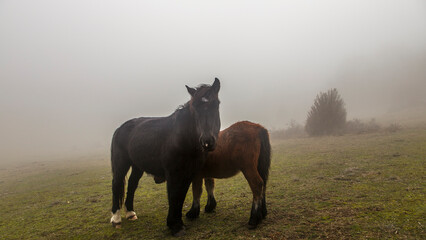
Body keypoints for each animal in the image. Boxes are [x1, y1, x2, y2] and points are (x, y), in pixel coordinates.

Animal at [110, 79, 221, 236]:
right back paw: (116, 218)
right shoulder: (173, 173)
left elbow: (181, 196)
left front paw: (178, 223)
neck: (182, 139)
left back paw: (131, 213)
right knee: (116, 184)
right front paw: (175, 226)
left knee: (132, 185)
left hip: (137, 166)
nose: (207, 141)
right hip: (121, 163)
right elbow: (174, 196)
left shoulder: (188, 173)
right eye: (195, 109)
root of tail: (121, 128)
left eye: (215, 104)